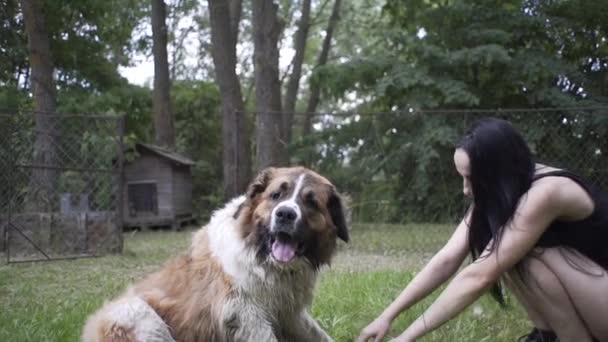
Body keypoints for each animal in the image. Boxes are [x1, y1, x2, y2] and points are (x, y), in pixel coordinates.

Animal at [82, 167, 346, 340]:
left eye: (311, 202)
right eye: (275, 196)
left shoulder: (288, 313)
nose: (285, 214)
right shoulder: (243, 312)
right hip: (137, 315)